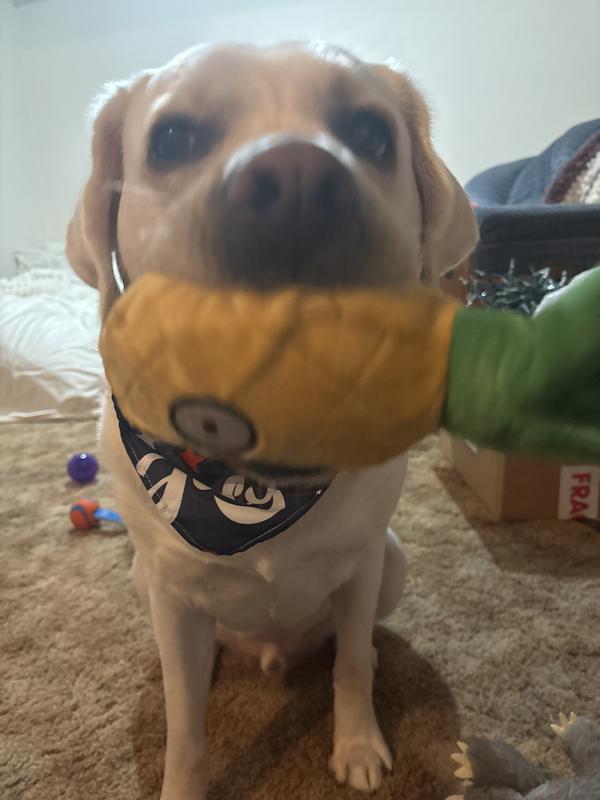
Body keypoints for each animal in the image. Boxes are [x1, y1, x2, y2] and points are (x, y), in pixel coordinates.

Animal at [66, 42, 478, 798]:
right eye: (173, 140)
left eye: (371, 134)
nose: (298, 181)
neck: (249, 487)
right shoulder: (171, 593)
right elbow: (184, 725)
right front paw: (183, 781)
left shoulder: (362, 565)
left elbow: (352, 666)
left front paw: (357, 744)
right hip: (144, 579)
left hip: (393, 561)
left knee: (353, 647)